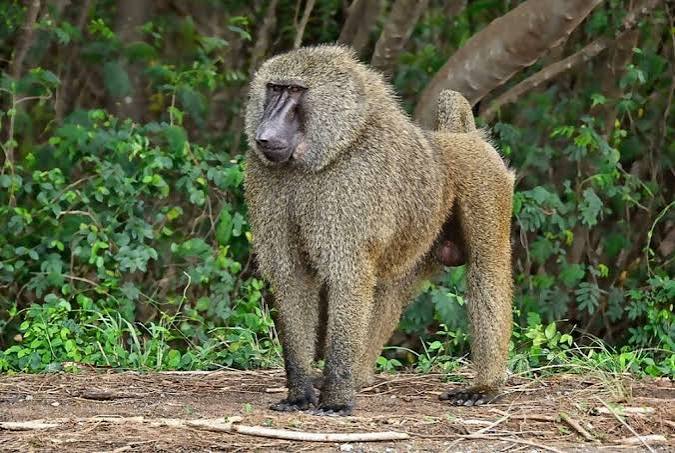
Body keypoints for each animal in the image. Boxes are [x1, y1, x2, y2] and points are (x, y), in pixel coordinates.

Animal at [244, 45, 514, 415]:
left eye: (296, 91)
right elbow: (291, 275)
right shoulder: (265, 180)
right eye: (274, 89)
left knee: (487, 270)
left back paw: (485, 387)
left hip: (486, 181)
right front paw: (299, 393)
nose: (265, 135)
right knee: (390, 287)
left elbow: (347, 277)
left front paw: (336, 400)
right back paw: (359, 376)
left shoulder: (354, 183)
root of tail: (461, 138)